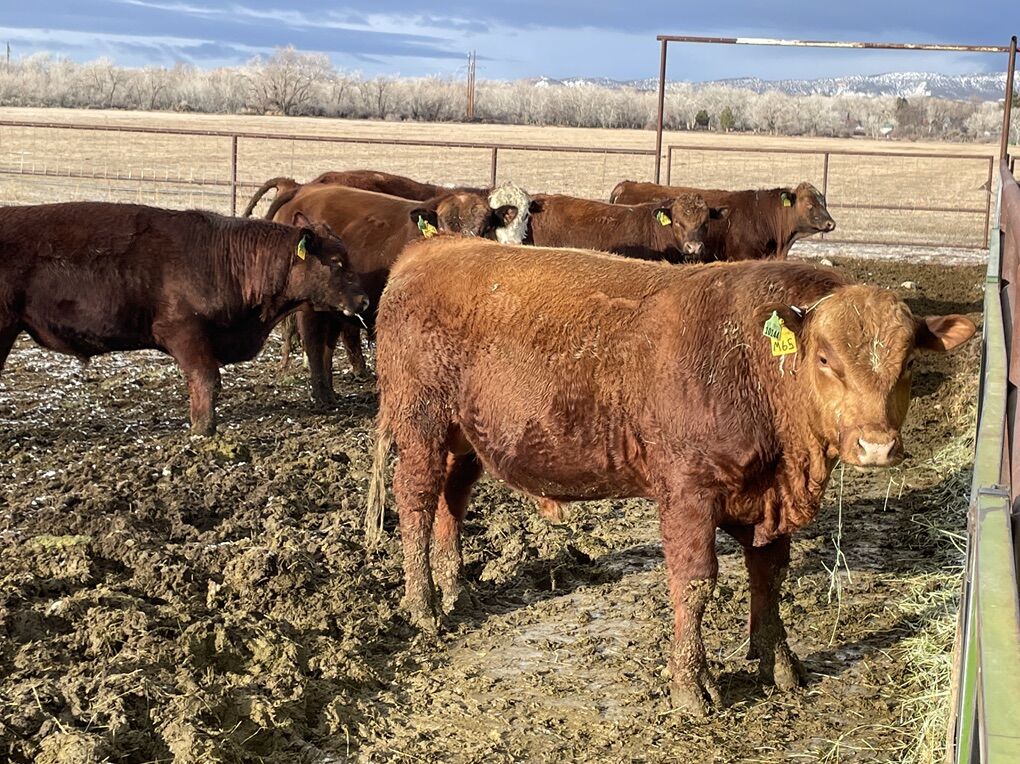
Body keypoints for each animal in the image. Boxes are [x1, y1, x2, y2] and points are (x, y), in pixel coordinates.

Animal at [269, 183, 530, 403]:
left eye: (486, 228)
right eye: (443, 227)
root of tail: (303, 189)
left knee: (327, 346)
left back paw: (331, 393)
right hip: (311, 307)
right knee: (314, 344)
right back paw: (322, 397)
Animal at [364, 237, 975, 716]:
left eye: (909, 363)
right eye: (825, 359)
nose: (877, 445)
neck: (752, 364)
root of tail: (433, 248)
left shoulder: (769, 502)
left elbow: (769, 574)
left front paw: (778, 661)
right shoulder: (687, 492)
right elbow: (695, 582)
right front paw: (692, 684)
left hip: (466, 438)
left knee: (452, 500)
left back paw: (457, 589)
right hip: (419, 420)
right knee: (416, 501)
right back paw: (424, 606)